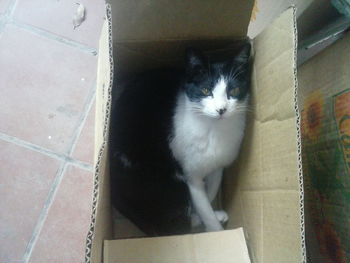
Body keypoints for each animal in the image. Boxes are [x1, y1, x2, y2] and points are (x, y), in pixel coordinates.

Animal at [110, 43, 250, 237]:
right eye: (206, 91)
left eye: (234, 90)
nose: (221, 110)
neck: (214, 129)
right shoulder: (190, 175)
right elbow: (202, 204)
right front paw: (214, 228)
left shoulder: (219, 165)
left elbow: (212, 191)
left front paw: (209, 210)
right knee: (173, 227)